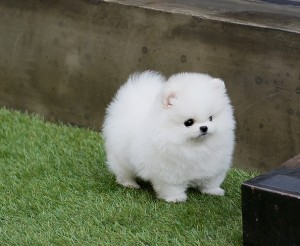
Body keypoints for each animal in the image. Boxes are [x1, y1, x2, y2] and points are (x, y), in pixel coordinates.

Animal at [102, 70, 236, 202]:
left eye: (211, 118)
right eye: (188, 122)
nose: (204, 128)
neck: (195, 146)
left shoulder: (215, 166)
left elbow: (211, 181)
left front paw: (213, 191)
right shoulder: (168, 173)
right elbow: (171, 187)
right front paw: (176, 198)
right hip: (121, 158)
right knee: (123, 172)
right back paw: (130, 184)